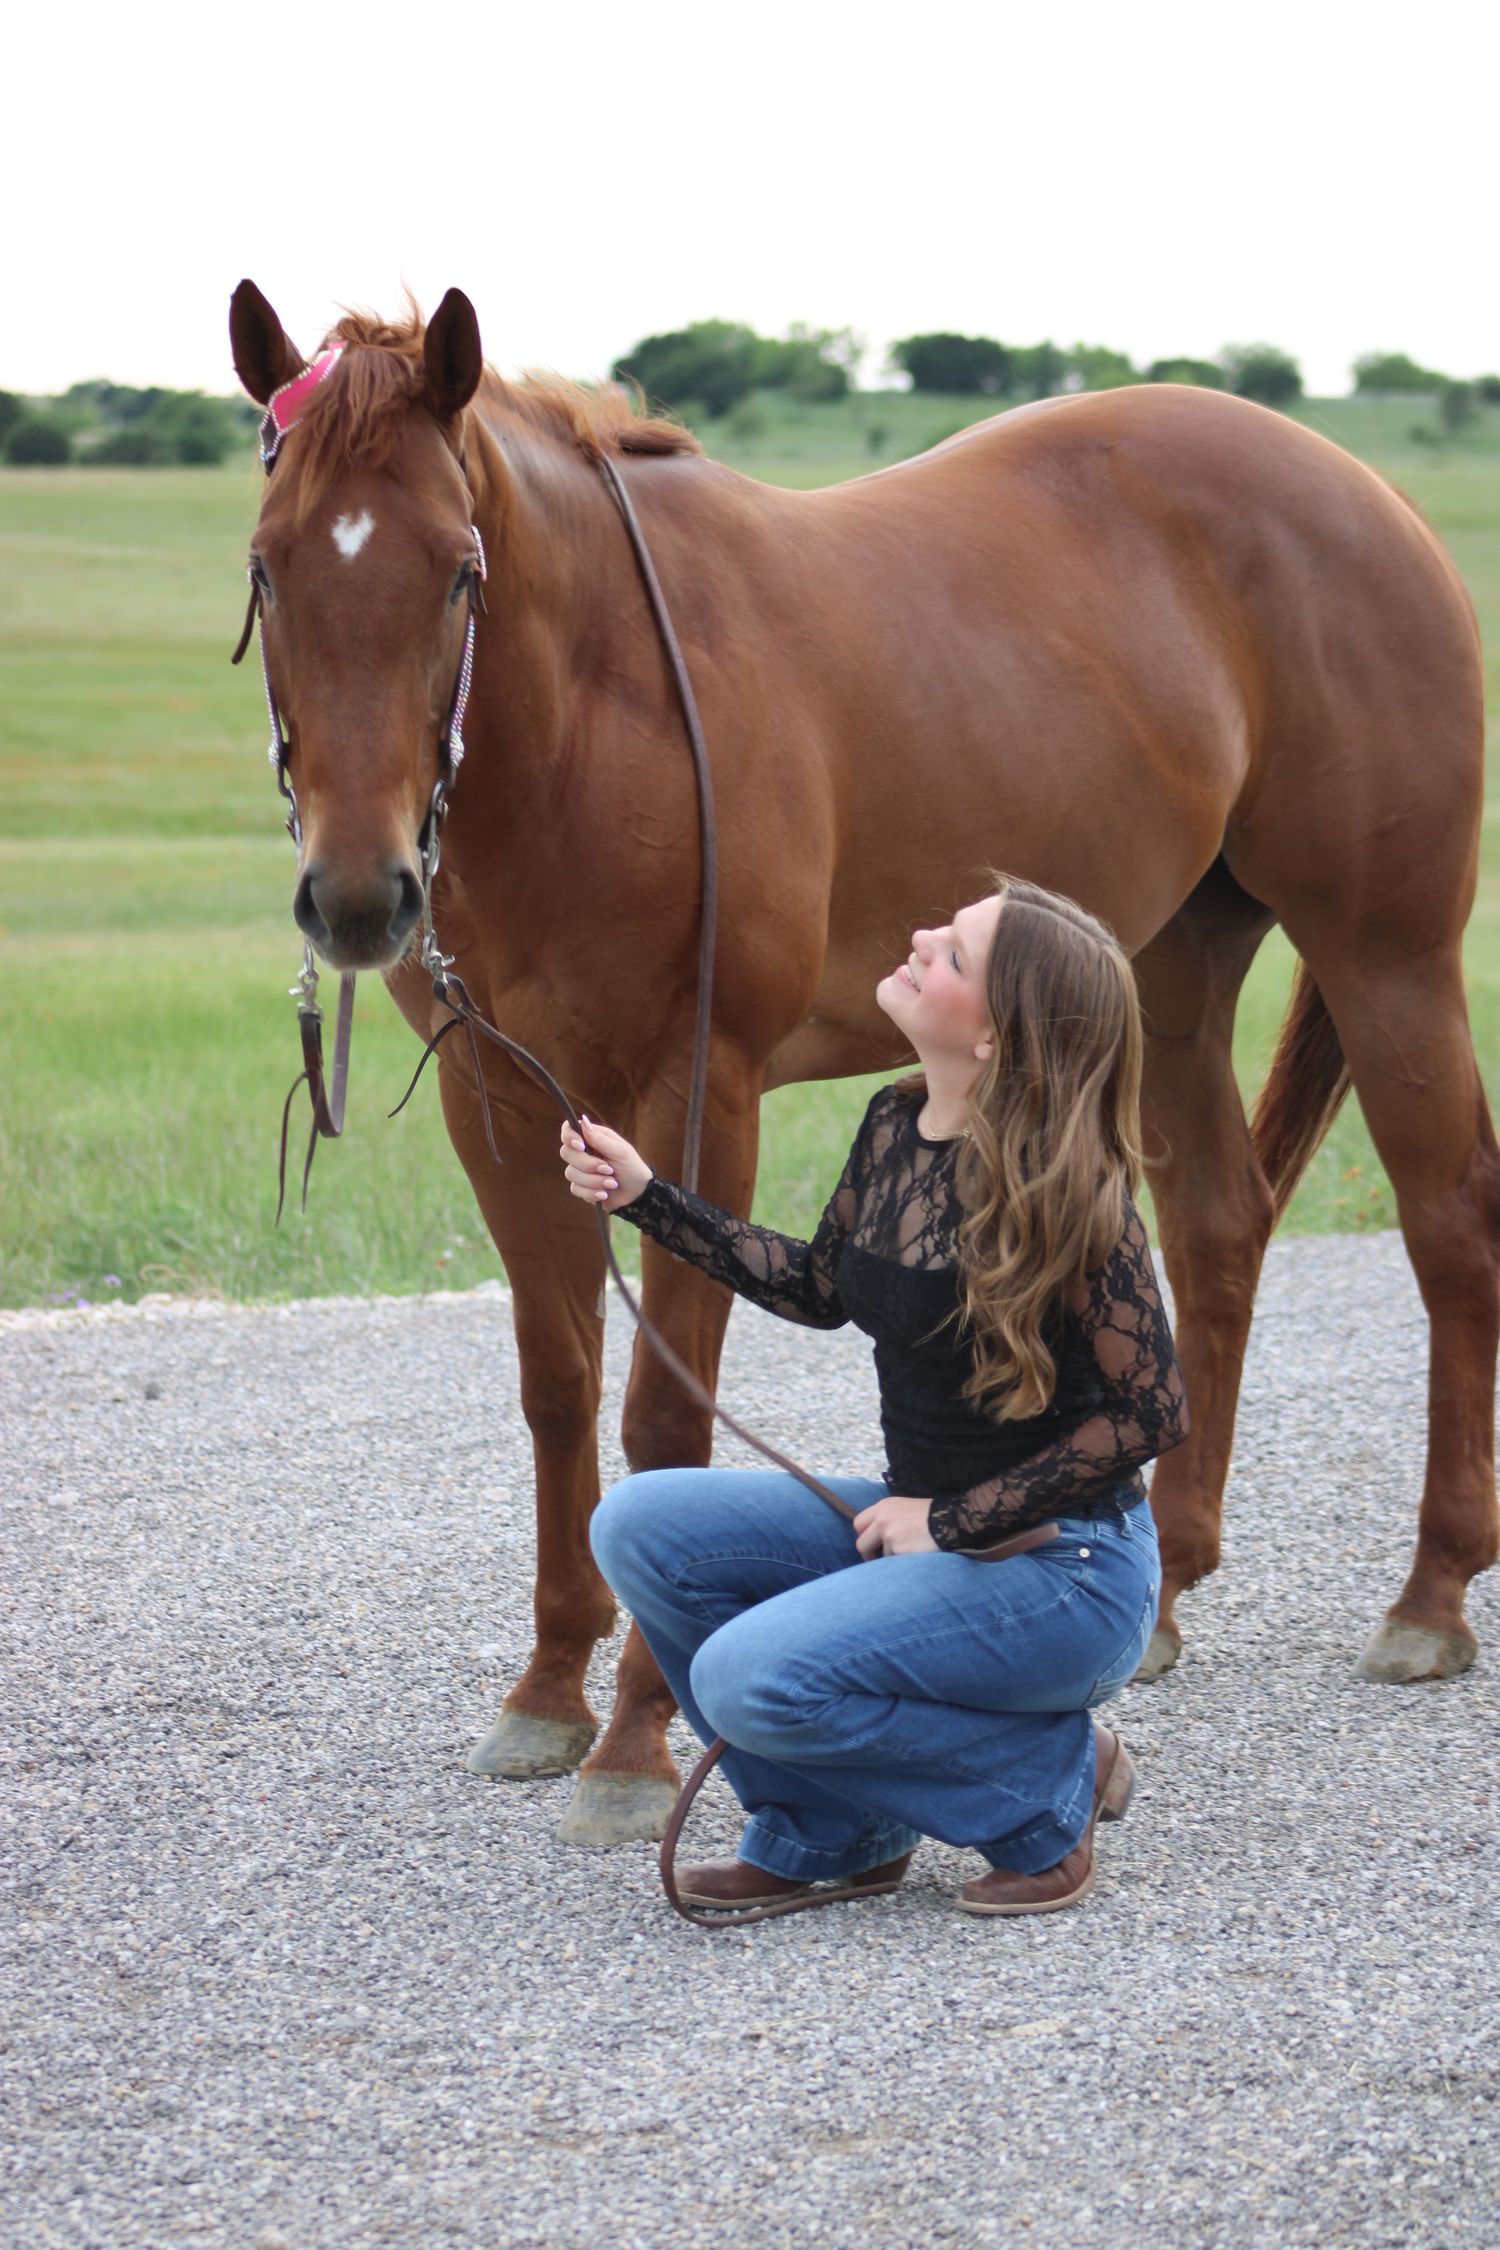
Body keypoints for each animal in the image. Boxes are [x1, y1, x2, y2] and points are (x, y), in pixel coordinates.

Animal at [228, 280, 1499, 1847]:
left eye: (458, 572)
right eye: (270, 565)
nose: (360, 896)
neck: (601, 708)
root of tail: (1367, 493)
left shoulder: (700, 1090)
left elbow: (662, 1414)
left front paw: (634, 1740)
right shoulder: (504, 1105)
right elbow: (556, 1389)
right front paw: (545, 1692)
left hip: (1389, 956)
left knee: (1448, 1226)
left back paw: (1430, 1598)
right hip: (1173, 960)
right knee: (1215, 1228)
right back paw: (1166, 1589)